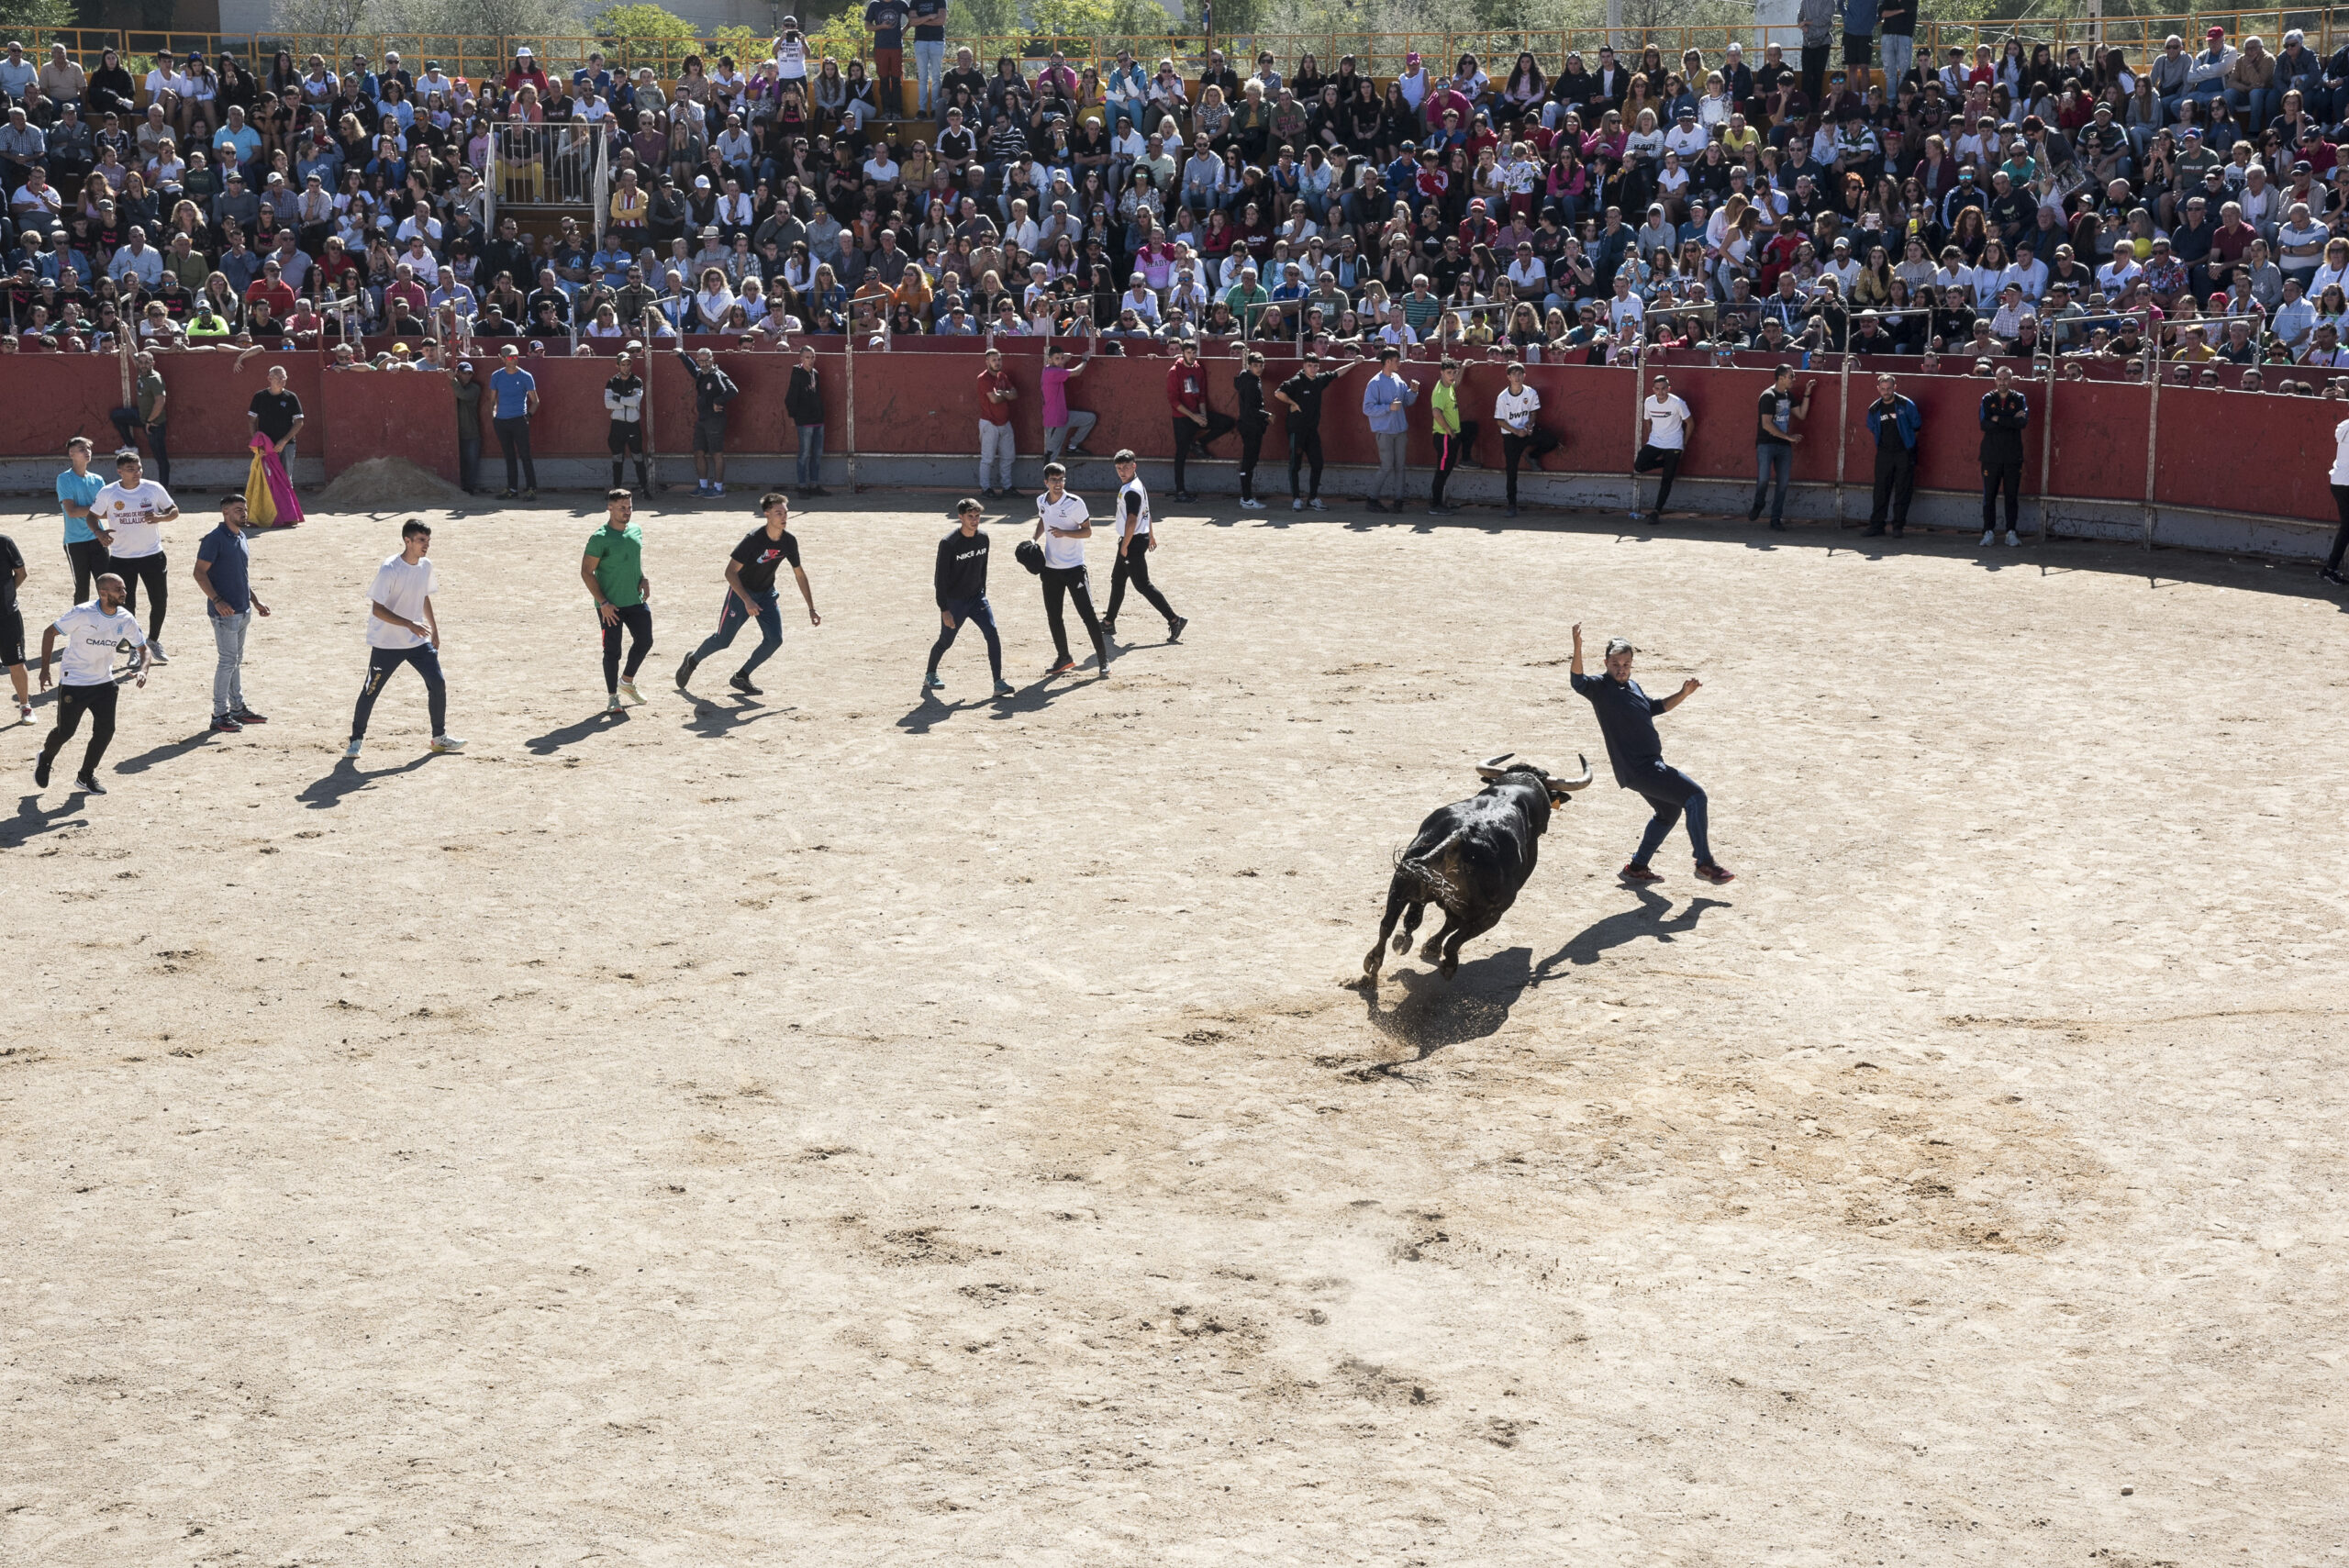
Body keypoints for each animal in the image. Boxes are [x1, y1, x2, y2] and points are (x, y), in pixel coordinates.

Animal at [1362, 755, 1597, 981]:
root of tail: (1463, 833)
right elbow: (1450, 927)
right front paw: (1431, 947)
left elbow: (1416, 919)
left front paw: (1412, 942)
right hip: (1493, 912)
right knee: (1455, 940)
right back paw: (1448, 966)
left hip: (1402, 878)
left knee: (1387, 924)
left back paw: (1373, 966)